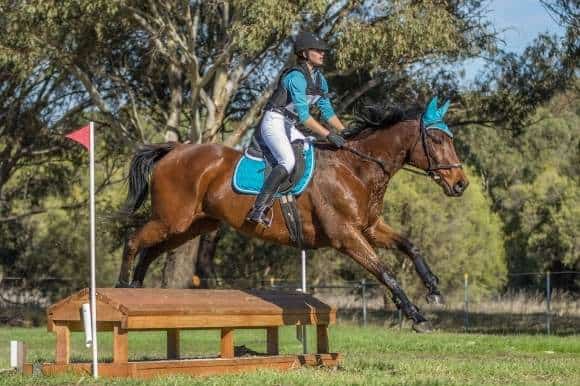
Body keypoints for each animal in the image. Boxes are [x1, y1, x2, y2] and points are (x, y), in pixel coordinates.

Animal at [116, 96, 466, 332]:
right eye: (437, 139)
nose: (461, 184)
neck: (356, 168)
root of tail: (175, 149)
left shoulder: (370, 227)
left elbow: (410, 245)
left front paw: (434, 289)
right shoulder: (346, 236)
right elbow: (386, 272)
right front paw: (417, 316)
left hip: (190, 225)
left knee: (150, 250)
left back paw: (137, 291)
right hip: (171, 219)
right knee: (133, 242)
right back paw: (121, 289)